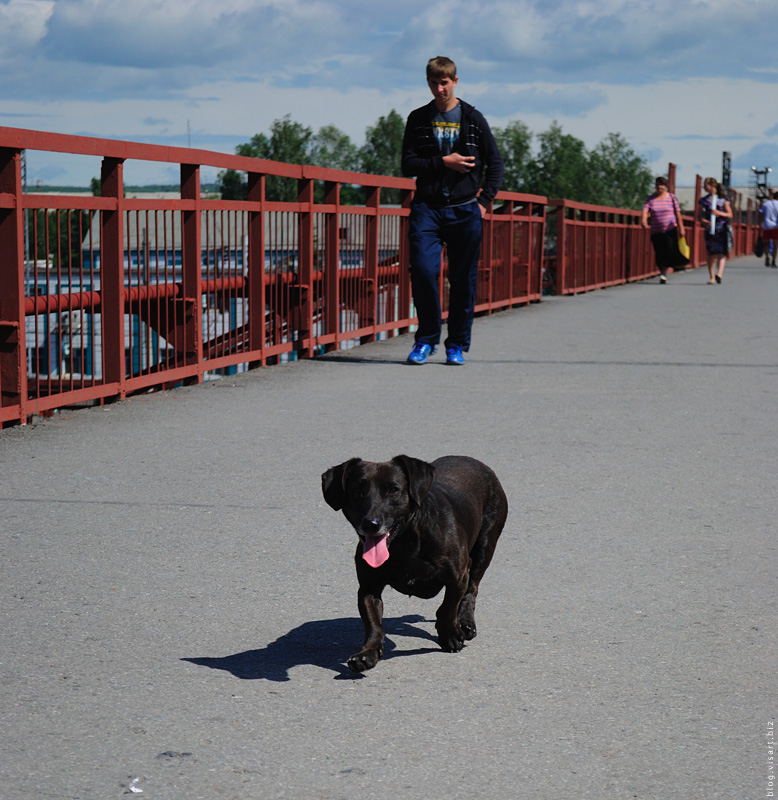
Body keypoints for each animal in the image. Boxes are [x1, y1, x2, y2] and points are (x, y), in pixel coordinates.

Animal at [321, 455, 508, 672]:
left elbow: (447, 609)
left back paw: (465, 622)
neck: (404, 544)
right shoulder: (368, 589)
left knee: (472, 588)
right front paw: (367, 653)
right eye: (356, 491)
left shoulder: (457, 578)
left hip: (485, 546)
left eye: (393, 490)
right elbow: (373, 624)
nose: (370, 524)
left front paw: (450, 636)